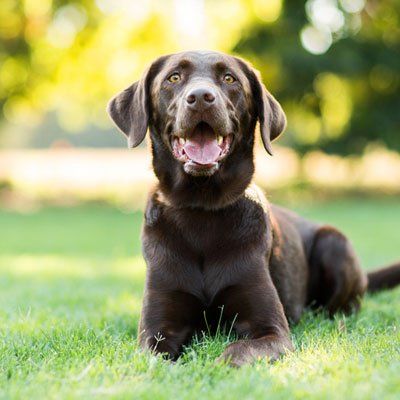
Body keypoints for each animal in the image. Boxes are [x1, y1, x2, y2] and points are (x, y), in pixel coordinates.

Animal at [107, 50, 400, 366]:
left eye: (229, 78)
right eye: (174, 77)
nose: (201, 97)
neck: (201, 209)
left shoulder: (272, 330)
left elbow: (237, 350)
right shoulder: (157, 331)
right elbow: (156, 360)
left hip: (335, 243)